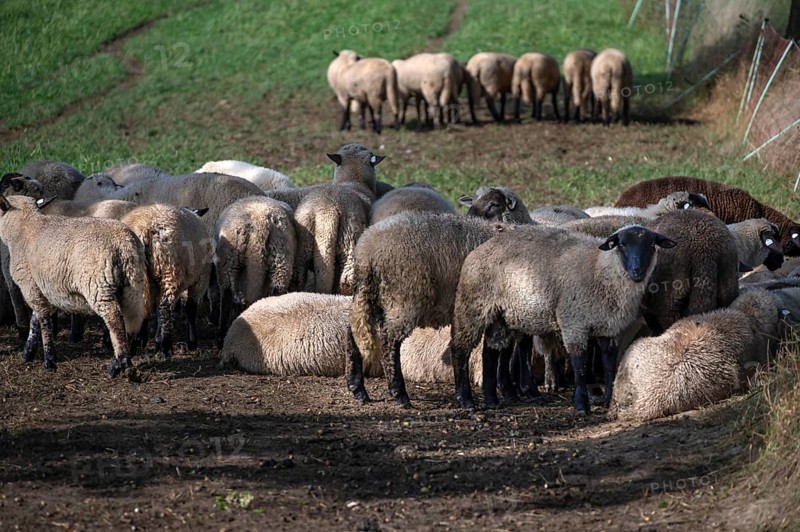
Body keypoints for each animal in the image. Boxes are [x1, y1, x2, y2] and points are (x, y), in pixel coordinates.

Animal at [0, 195, 148, 376]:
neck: (24, 227)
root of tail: (124, 242)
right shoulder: (43, 287)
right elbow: (36, 319)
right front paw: (29, 352)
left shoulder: (29, 285)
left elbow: (43, 320)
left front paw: (49, 360)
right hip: (134, 283)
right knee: (132, 320)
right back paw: (120, 361)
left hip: (98, 286)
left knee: (115, 320)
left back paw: (121, 365)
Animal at [121, 204, 212, 359]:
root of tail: (146, 228)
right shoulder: (200, 279)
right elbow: (190, 309)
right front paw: (192, 342)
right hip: (170, 269)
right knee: (165, 307)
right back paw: (164, 347)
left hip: (135, 274)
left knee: (142, 307)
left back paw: (136, 343)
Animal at [214, 197, 296, 346]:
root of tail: (260, 220)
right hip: (281, 258)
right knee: (277, 290)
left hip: (228, 261)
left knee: (227, 292)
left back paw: (221, 336)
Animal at [347, 213, 508, 406]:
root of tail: (367, 250)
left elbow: (493, 352)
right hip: (404, 297)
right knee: (389, 340)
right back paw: (399, 393)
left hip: (369, 296)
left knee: (354, 333)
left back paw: (358, 389)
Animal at [449, 224, 676, 412]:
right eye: (621, 244)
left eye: (652, 244)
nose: (637, 271)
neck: (600, 269)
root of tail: (479, 249)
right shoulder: (574, 323)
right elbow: (579, 364)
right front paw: (581, 404)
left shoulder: (609, 328)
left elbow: (609, 364)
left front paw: (610, 398)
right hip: (473, 306)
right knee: (460, 349)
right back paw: (466, 400)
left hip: (501, 315)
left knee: (491, 352)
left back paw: (491, 400)